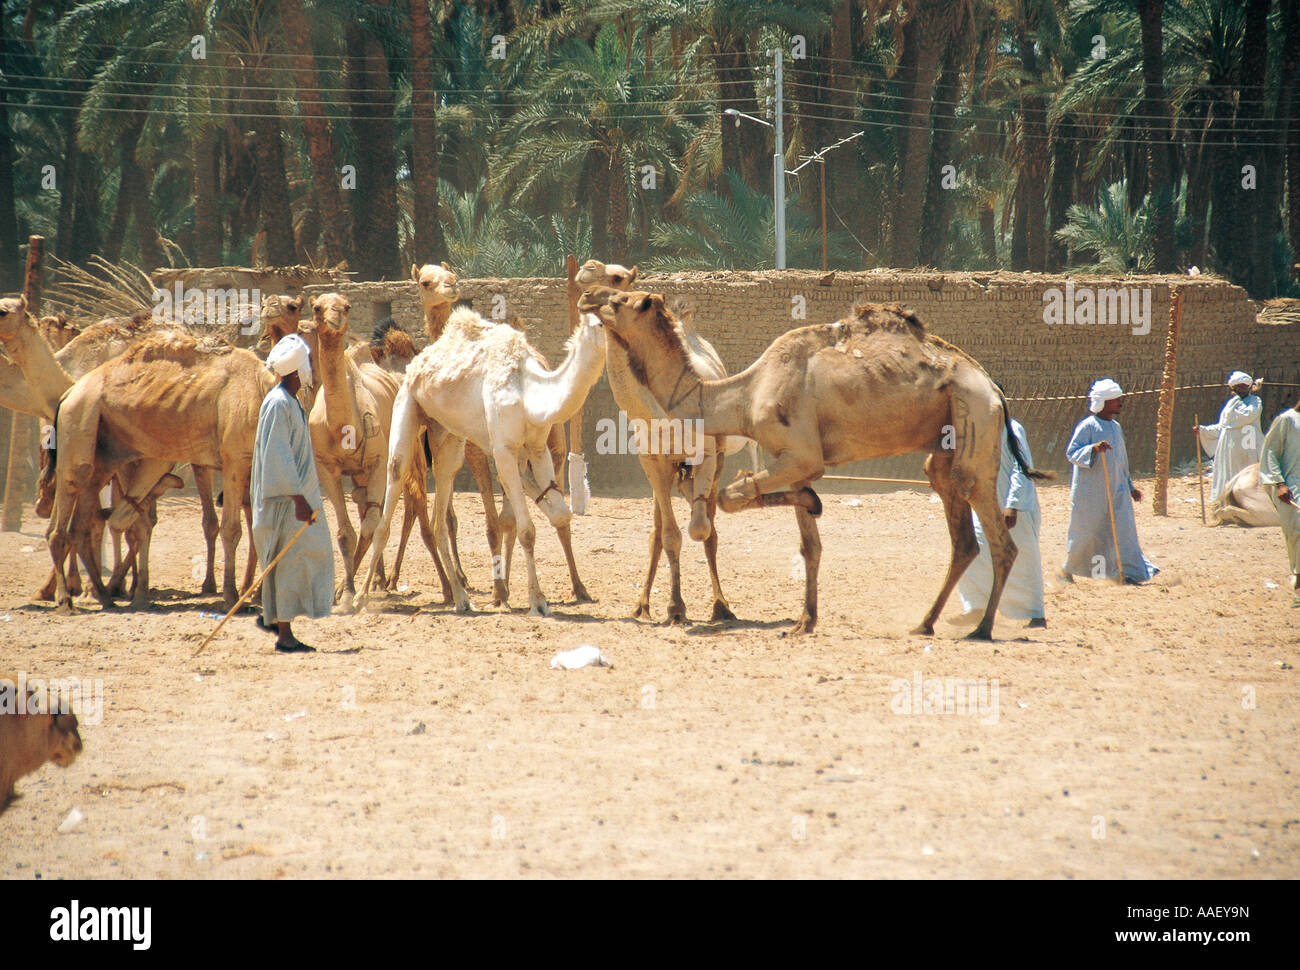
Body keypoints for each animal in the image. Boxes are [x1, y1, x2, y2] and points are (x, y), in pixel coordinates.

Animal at [364, 301, 605, 611]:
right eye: (601, 323)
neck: (531, 390)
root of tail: (416, 363)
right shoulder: (503, 449)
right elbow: (526, 529)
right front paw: (536, 601)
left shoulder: (537, 448)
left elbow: (557, 515)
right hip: (407, 404)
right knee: (394, 479)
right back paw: (358, 597)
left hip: (448, 436)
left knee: (440, 508)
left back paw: (461, 598)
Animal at [585, 284, 1050, 634]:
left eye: (621, 299)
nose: (588, 295)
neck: (744, 393)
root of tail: (993, 387)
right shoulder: (791, 460)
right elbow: (809, 544)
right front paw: (805, 620)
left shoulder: (802, 455)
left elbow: (732, 496)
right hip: (943, 447)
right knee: (961, 533)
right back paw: (924, 623)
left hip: (975, 417)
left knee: (996, 532)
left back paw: (982, 628)